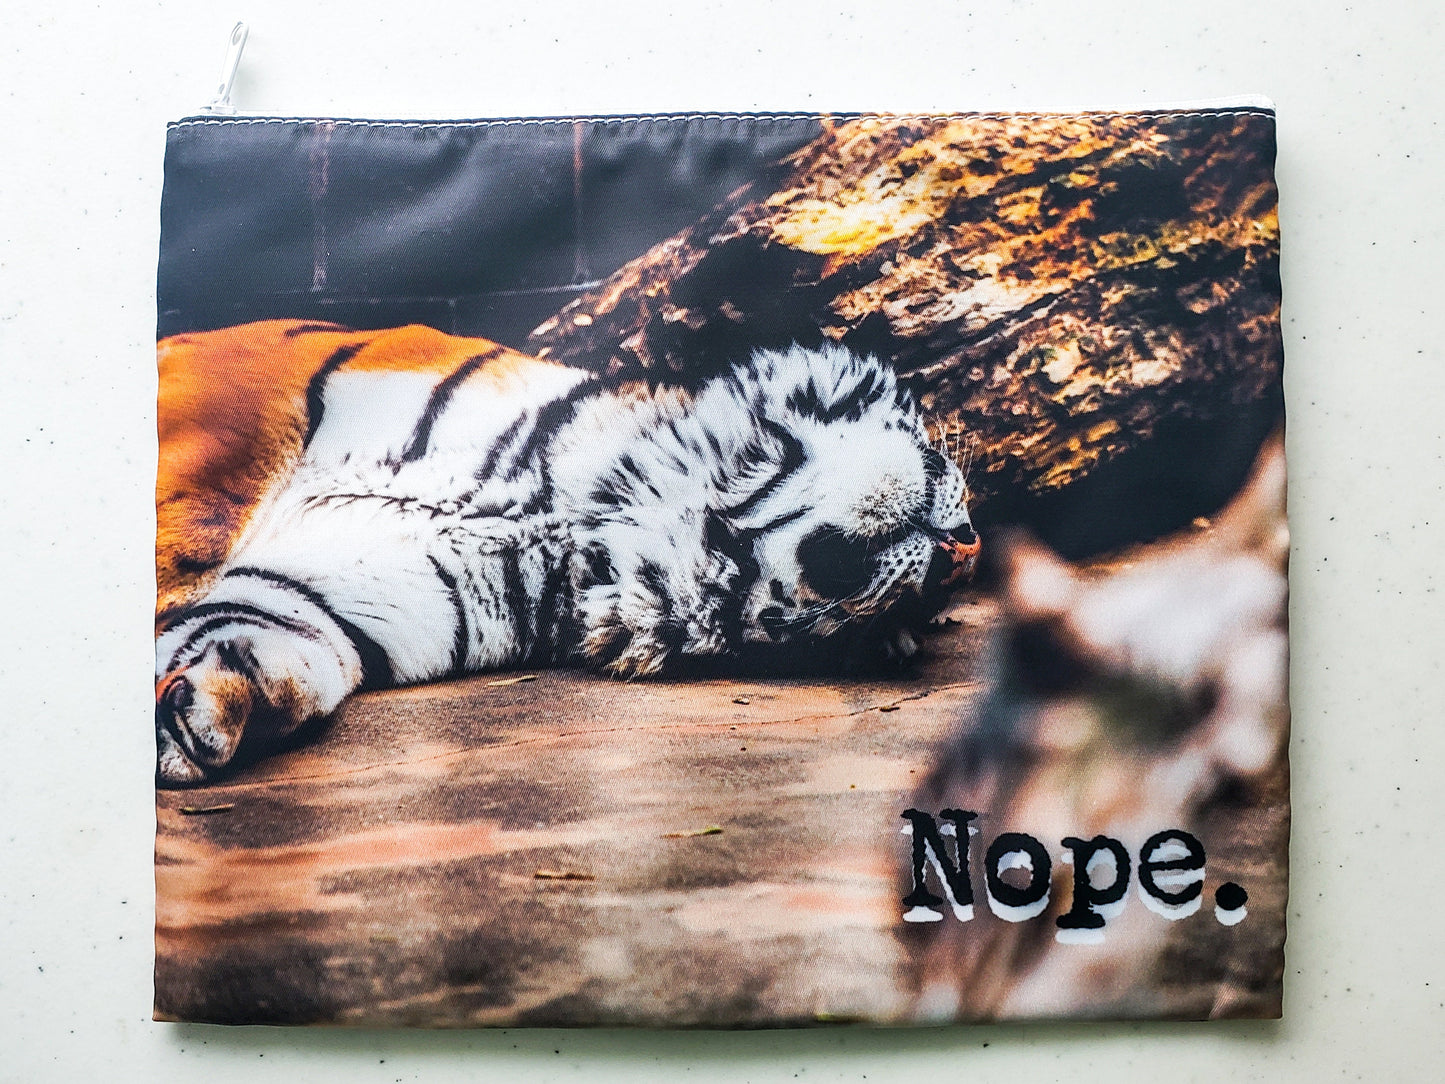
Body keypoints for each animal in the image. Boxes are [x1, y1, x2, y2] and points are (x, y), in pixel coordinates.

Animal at [155, 320, 981, 786]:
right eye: (933, 454)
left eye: (891, 630)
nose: (965, 551)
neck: (585, 522)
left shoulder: (346, 591)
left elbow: (270, 630)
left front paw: (207, 717)